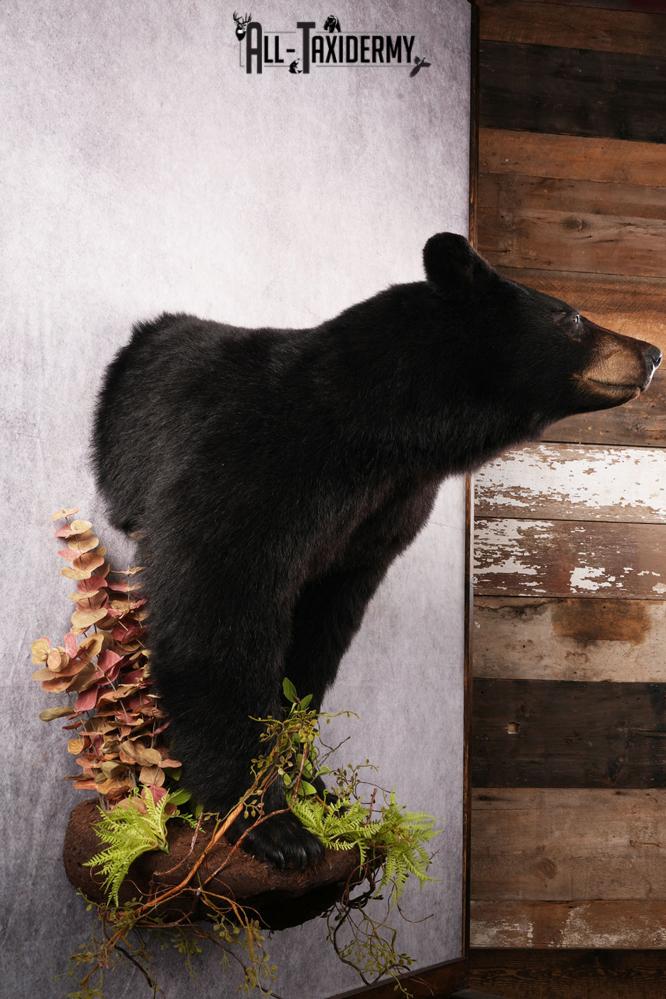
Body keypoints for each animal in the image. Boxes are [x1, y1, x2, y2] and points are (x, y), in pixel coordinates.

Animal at [92, 233, 661, 869]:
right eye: (571, 316)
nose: (651, 351)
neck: (385, 435)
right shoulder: (251, 466)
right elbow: (215, 609)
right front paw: (272, 823)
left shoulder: (373, 528)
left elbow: (316, 639)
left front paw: (314, 786)